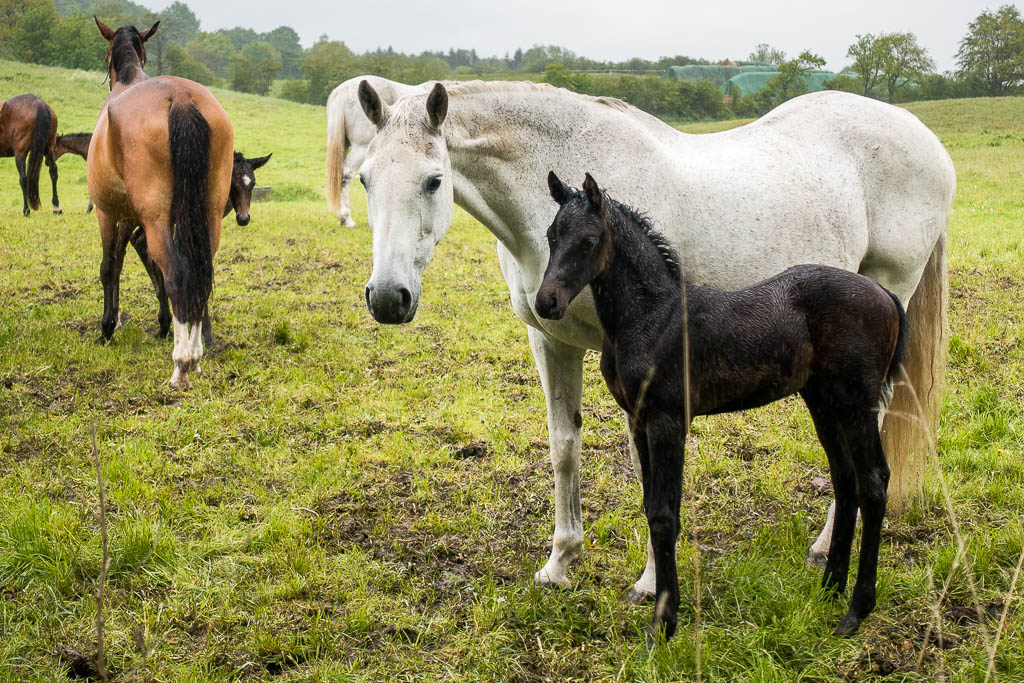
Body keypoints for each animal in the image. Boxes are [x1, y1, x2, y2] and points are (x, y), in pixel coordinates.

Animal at [88, 17, 234, 389]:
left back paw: (182, 364)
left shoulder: (109, 214)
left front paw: (107, 328)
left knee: (177, 275)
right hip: (208, 215)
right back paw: (195, 357)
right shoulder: (130, 218)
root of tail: (180, 96)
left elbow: (110, 268)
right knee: (200, 273)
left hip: (155, 219)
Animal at [356, 81, 954, 598]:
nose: (387, 297)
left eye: (434, 180)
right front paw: (560, 562)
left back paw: (826, 545)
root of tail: (923, 136)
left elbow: (647, 472)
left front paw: (649, 581)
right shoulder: (550, 341)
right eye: (363, 179)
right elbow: (564, 446)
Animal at [532, 171, 909, 647]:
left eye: (588, 240)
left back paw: (856, 610)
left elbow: (664, 515)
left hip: (857, 403)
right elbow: (650, 506)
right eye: (551, 235)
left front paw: (662, 624)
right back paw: (829, 589)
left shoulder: (668, 420)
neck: (651, 316)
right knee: (846, 481)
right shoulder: (638, 420)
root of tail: (884, 294)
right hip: (824, 401)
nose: (547, 302)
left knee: (874, 483)